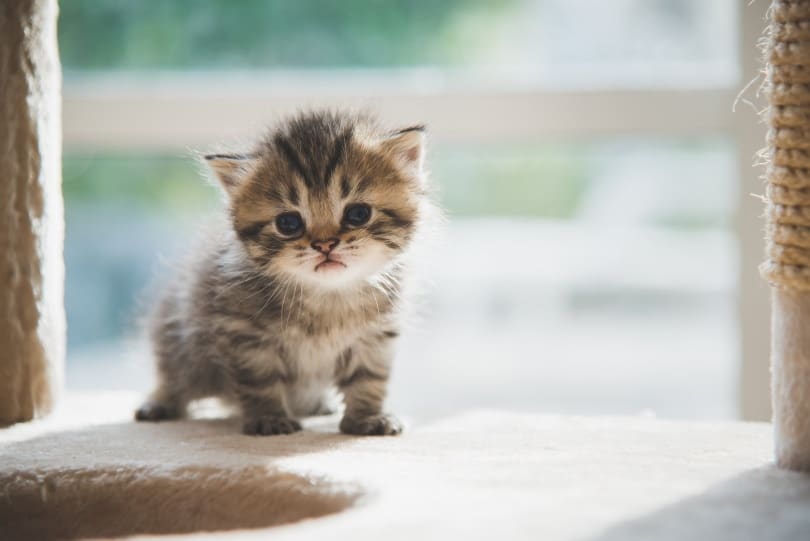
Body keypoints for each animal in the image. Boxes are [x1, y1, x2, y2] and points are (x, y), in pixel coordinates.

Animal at [137, 108, 430, 434]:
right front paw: (269, 418)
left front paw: (366, 418)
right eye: (289, 223)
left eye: (358, 214)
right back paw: (158, 403)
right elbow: (261, 381)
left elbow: (369, 379)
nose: (325, 244)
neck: (327, 299)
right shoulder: (246, 336)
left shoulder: (374, 336)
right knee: (174, 376)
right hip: (181, 344)